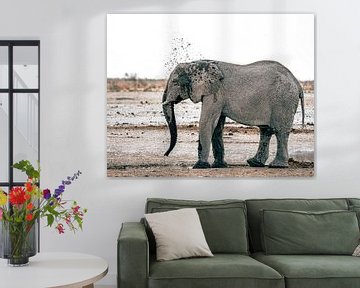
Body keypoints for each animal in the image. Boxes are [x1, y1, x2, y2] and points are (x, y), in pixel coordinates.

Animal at [162, 60, 306, 169]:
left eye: (174, 82)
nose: (166, 154)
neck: (196, 63)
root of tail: (297, 83)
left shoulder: (215, 93)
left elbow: (207, 122)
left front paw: (199, 166)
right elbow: (217, 126)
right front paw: (219, 166)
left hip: (283, 100)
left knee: (280, 132)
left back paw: (277, 166)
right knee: (266, 131)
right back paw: (254, 163)